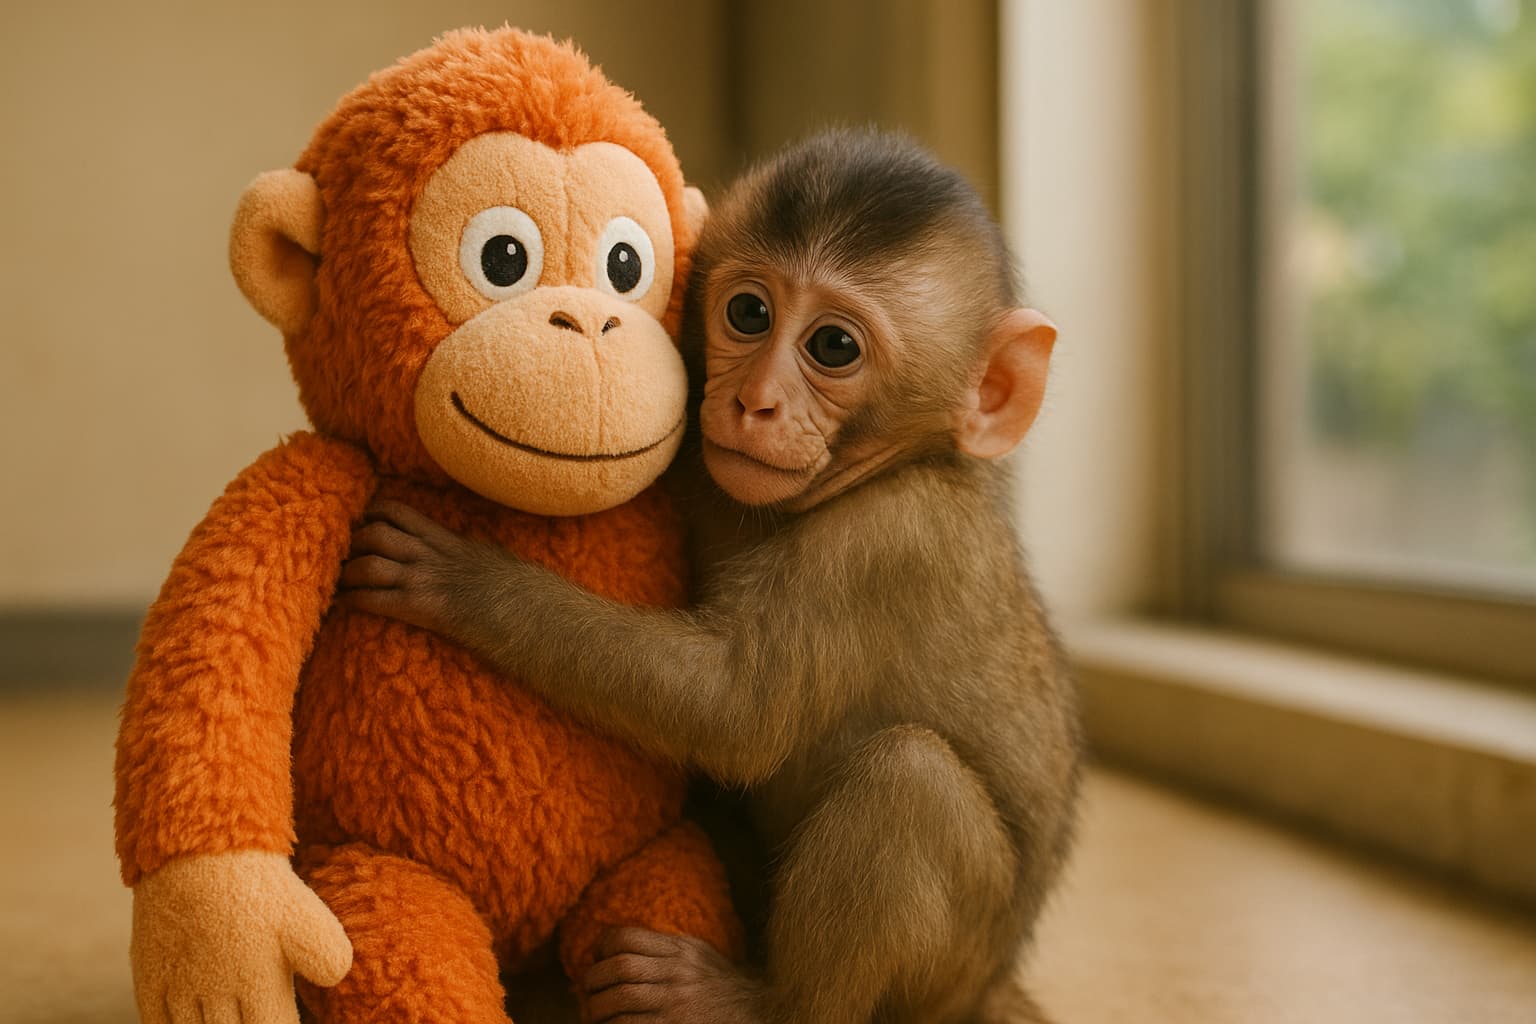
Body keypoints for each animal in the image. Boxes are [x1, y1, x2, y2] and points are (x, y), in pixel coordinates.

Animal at [345, 129, 1081, 1024]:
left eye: (834, 347)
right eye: (749, 313)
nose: (754, 402)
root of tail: (994, 983)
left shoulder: (884, 544)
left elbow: (737, 712)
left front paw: (466, 580)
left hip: (948, 974)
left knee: (910, 778)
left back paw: (756, 1002)